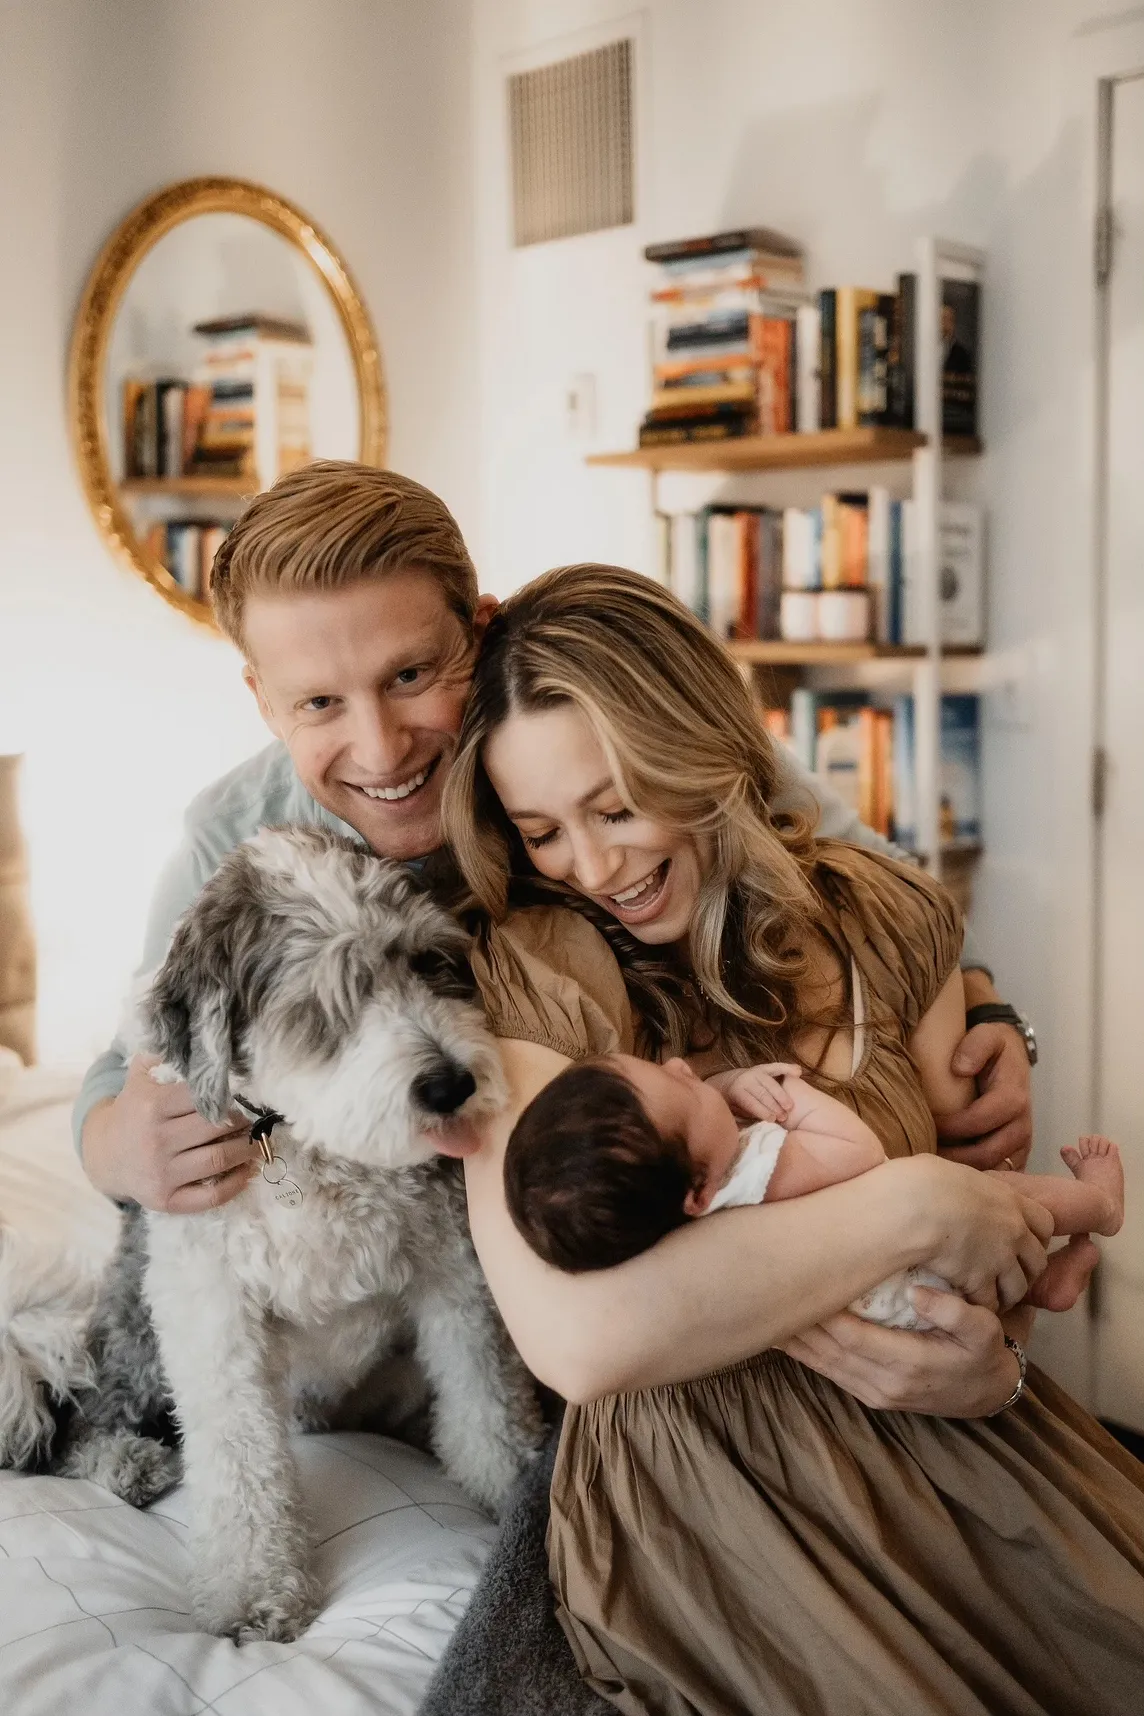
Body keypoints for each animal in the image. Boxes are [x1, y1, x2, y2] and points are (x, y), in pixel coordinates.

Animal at [12, 830, 541, 1647]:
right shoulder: (213, 1314)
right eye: (329, 1003)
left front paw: (508, 1491)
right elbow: (238, 1462)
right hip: (139, 1332)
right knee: (76, 1424)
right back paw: (127, 1463)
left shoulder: (455, 1275)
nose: (452, 1085)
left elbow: (486, 1401)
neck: (303, 1143)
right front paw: (252, 1593)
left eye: (428, 961)